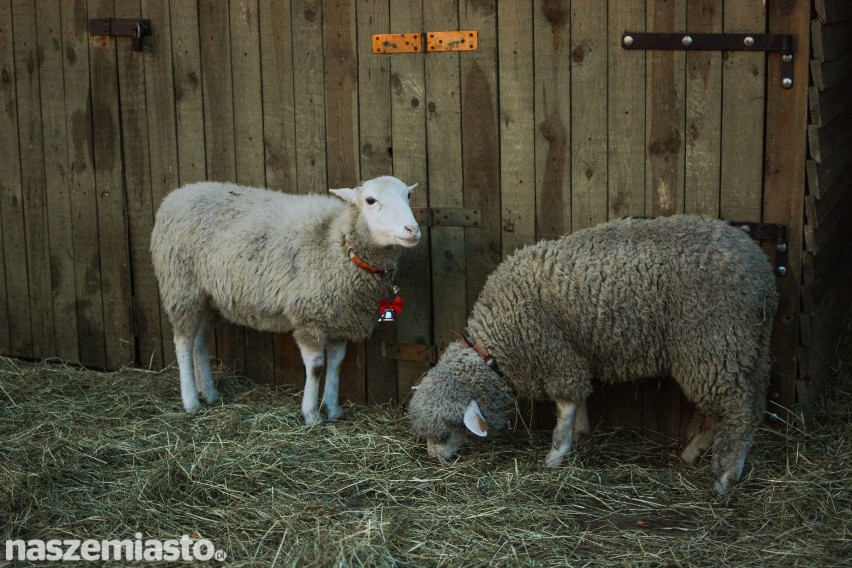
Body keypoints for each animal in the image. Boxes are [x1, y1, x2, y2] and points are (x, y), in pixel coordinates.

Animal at [153, 175, 422, 424]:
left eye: (408, 195)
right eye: (370, 200)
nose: (412, 230)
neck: (337, 240)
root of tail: (176, 194)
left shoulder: (339, 318)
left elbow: (336, 364)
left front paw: (333, 409)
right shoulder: (310, 317)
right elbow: (316, 367)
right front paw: (312, 414)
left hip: (208, 297)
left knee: (199, 343)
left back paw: (209, 393)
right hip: (182, 288)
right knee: (183, 343)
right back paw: (190, 401)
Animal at [410, 215, 776, 494]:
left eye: (448, 428)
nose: (434, 457)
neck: (495, 348)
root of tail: (761, 269)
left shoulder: (552, 352)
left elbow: (565, 404)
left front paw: (557, 454)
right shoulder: (573, 352)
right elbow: (580, 398)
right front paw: (581, 433)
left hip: (715, 342)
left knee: (738, 411)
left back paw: (725, 476)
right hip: (746, 349)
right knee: (740, 408)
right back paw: (694, 453)